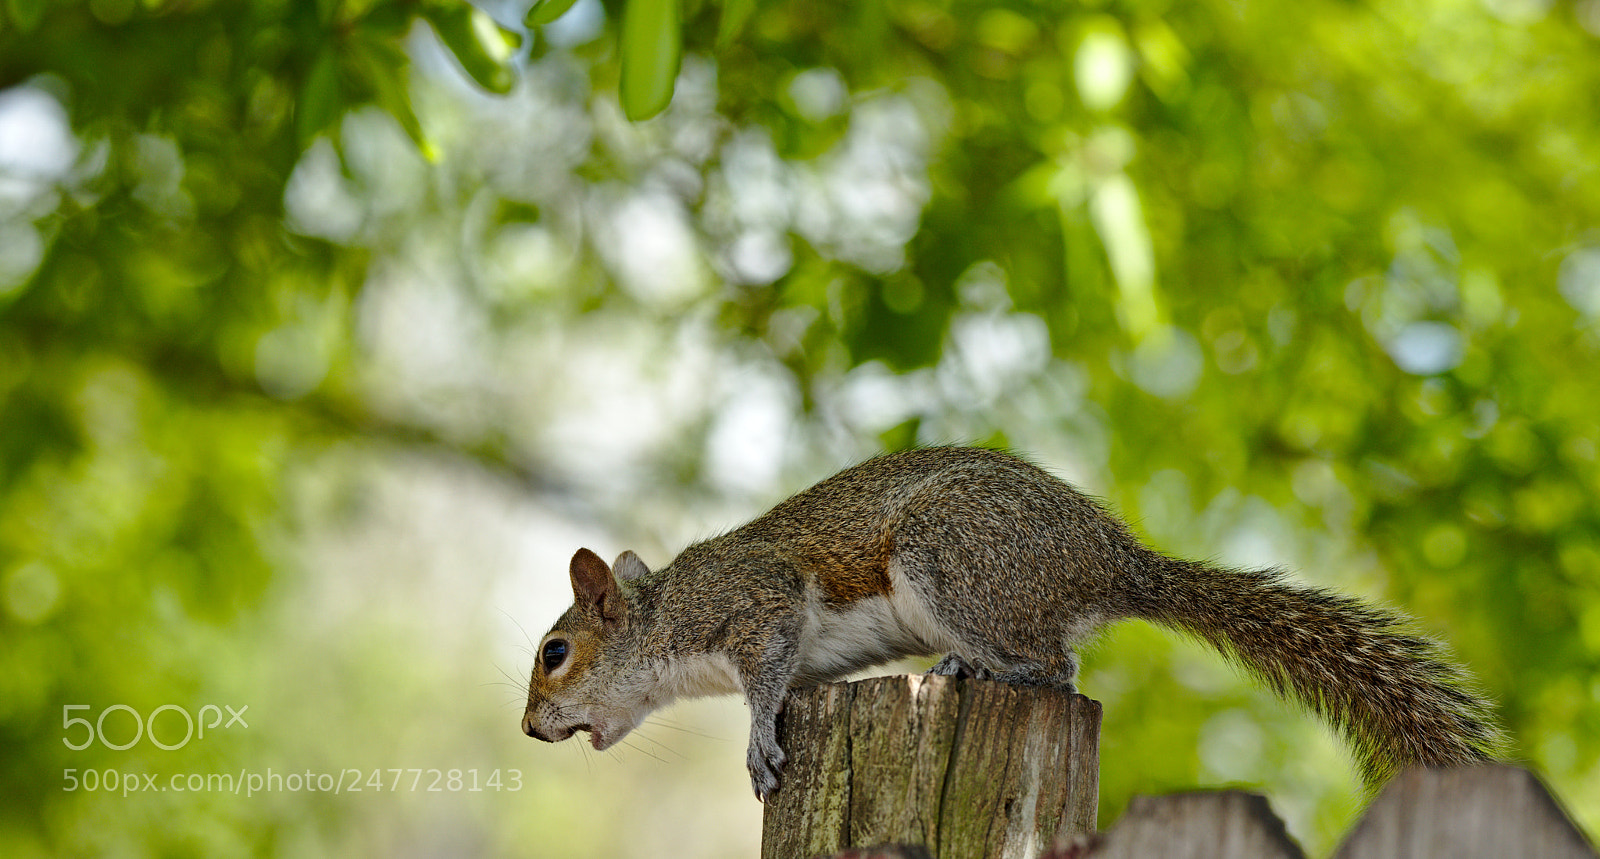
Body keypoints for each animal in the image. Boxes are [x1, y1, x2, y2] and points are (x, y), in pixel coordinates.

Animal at [521, 446, 1503, 800]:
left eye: (555, 651)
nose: (530, 728)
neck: (665, 619)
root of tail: (1118, 565)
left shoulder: (751, 601)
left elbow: (764, 677)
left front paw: (759, 740)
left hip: (953, 555)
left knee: (1058, 667)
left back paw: (974, 669)